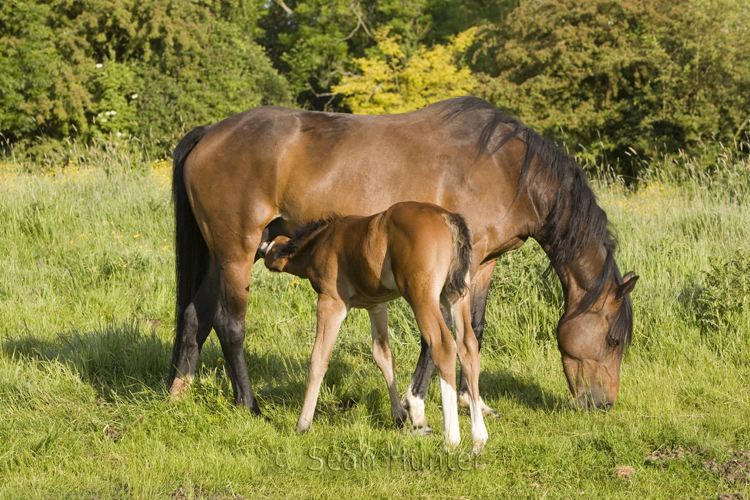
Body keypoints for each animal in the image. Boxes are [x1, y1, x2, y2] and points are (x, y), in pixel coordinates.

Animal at [262, 201, 490, 452]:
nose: (261, 249)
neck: (322, 240)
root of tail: (446, 217)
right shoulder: (377, 306)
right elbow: (383, 355)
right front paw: (400, 416)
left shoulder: (331, 303)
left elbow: (318, 359)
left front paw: (303, 424)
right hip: (455, 295)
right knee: (468, 346)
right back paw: (478, 438)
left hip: (422, 296)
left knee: (444, 346)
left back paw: (451, 438)